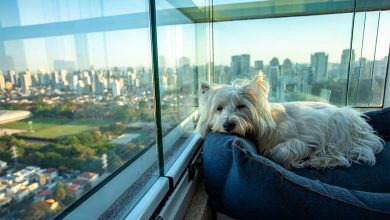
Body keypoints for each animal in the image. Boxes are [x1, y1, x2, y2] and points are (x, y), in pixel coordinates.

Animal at [198, 73, 384, 168]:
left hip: (339, 127)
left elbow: (281, 151)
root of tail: (369, 133)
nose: (228, 125)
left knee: (339, 157)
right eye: (219, 108)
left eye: (241, 106)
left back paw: (315, 161)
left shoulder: (303, 140)